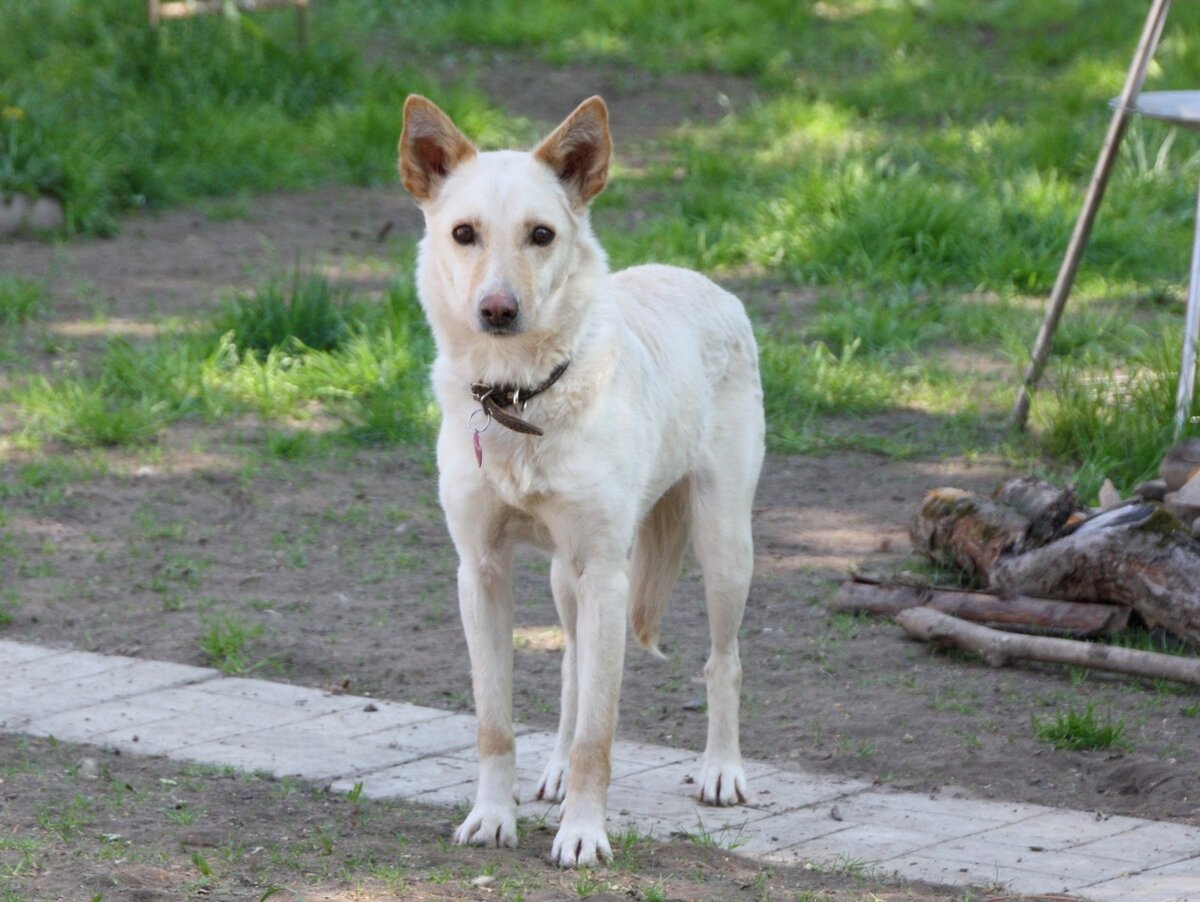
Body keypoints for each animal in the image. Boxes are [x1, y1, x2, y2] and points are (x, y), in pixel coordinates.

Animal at [398, 97, 763, 868]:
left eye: (541, 235)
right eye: (463, 234)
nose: (498, 310)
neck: (520, 399)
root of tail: (700, 280)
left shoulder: (606, 574)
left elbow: (602, 732)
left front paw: (585, 835)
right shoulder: (481, 572)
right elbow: (497, 722)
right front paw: (492, 818)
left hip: (723, 547)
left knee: (724, 661)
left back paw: (721, 771)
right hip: (565, 576)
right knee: (571, 667)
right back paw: (557, 769)